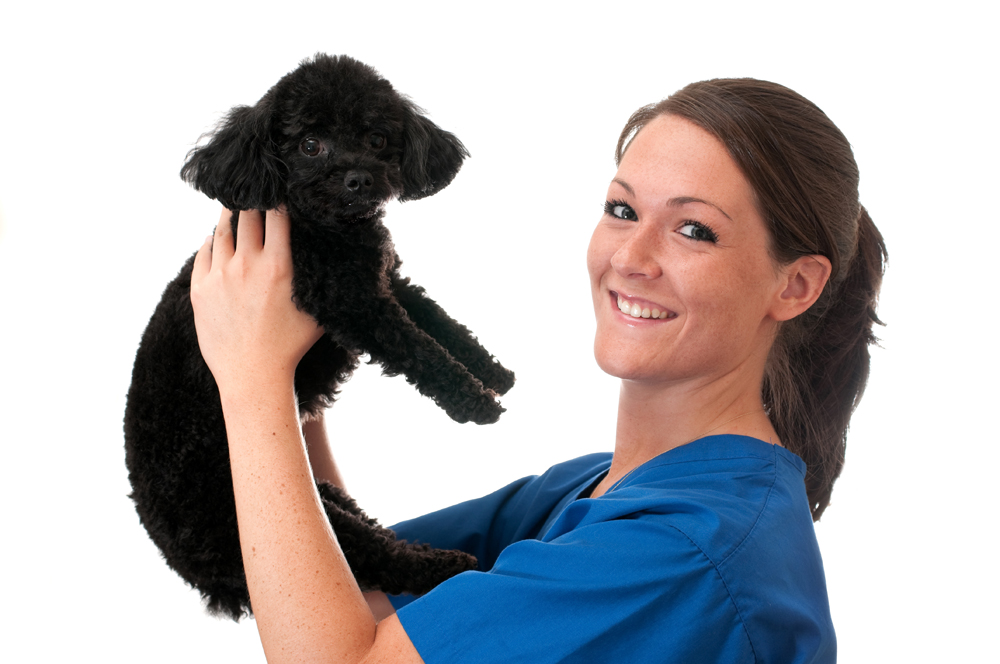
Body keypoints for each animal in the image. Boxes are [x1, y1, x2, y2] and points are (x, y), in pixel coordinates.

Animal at [124, 54, 512, 620]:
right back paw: (451, 565)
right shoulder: (350, 300)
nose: (358, 178)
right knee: (376, 558)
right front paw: (475, 402)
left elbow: (439, 321)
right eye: (310, 145)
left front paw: (492, 372)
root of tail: (194, 574)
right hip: (234, 518)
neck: (331, 230)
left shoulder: (383, 278)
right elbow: (418, 348)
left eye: (376, 138)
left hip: (317, 499)